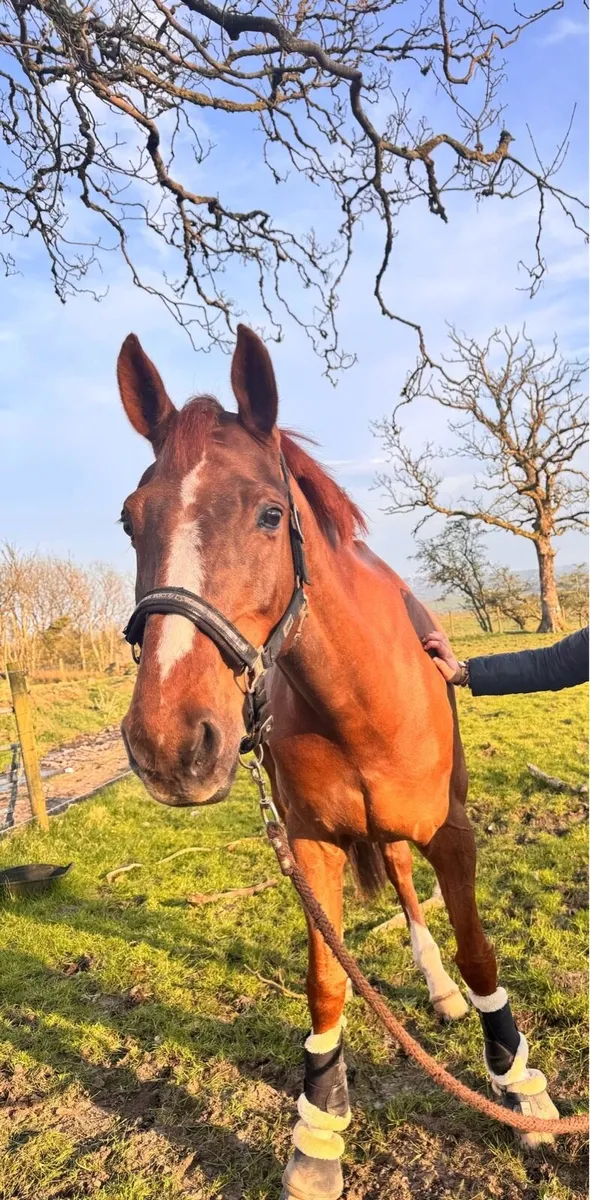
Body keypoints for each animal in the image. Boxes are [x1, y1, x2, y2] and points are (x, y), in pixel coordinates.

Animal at [116, 325, 558, 1199]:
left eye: (269, 514)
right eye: (129, 522)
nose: (169, 745)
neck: (356, 698)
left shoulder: (454, 833)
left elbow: (479, 951)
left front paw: (520, 1087)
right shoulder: (309, 845)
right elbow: (325, 983)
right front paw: (318, 1135)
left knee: (409, 884)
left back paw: (443, 995)